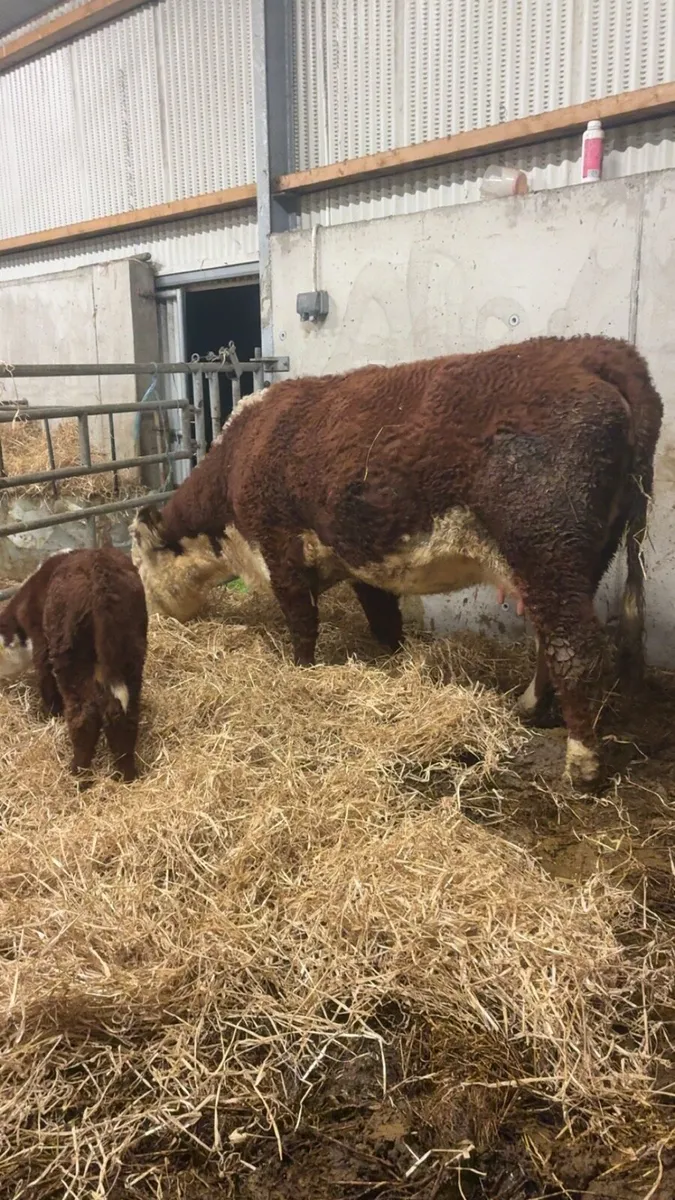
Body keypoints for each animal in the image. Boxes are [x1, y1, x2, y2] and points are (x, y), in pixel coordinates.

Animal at [0, 547, 148, 783]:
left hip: (69, 652)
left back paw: (78, 774)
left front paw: (49, 714)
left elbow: (45, 677)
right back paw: (125, 774)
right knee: (124, 711)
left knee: (83, 715)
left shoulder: (41, 642)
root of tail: (99, 574)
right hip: (129, 649)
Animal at [130, 335, 663, 789]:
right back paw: (529, 707)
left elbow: (302, 627)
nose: (154, 615)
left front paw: (300, 673)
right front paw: (392, 662)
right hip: (577, 560)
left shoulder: (280, 551)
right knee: (550, 644)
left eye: (137, 562)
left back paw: (582, 765)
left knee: (577, 653)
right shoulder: (361, 559)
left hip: (546, 550)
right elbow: (383, 621)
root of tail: (596, 350)